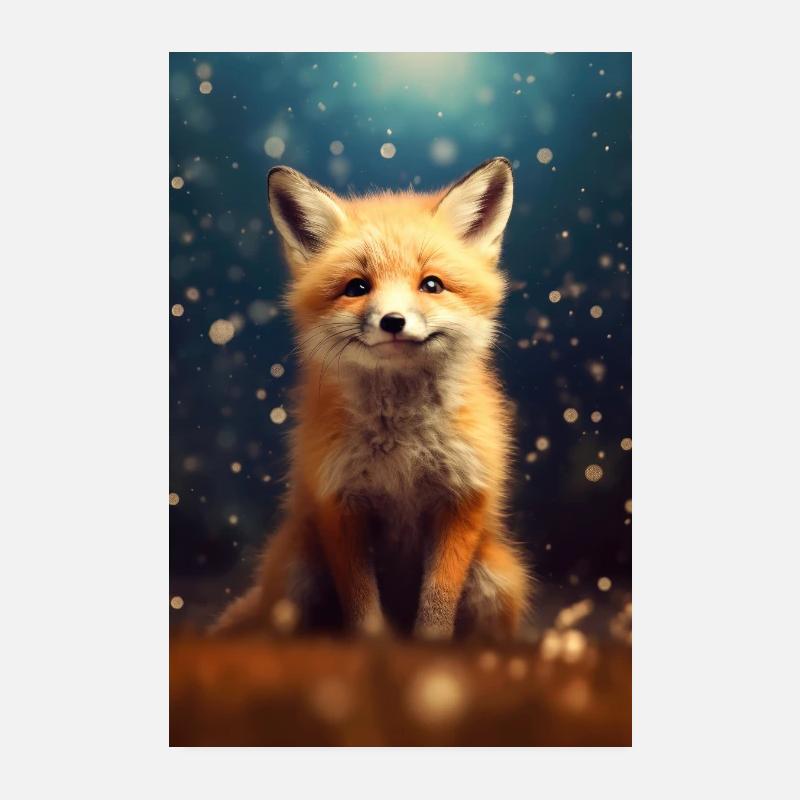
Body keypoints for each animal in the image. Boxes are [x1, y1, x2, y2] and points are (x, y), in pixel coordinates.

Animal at [211, 156, 532, 641]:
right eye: (357, 288)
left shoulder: (462, 499)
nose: (393, 321)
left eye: (432, 285)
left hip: (497, 575)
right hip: (296, 571)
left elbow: (437, 606)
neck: (402, 449)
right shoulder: (339, 502)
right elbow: (362, 607)